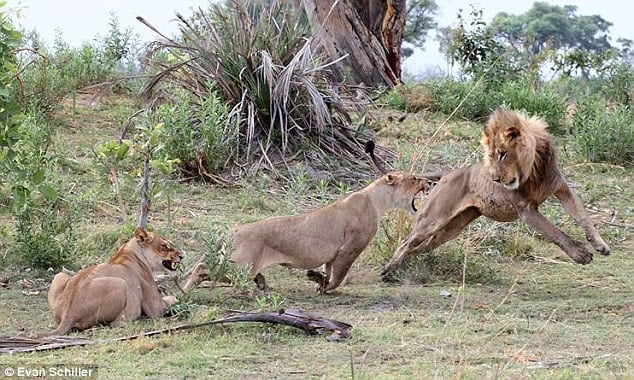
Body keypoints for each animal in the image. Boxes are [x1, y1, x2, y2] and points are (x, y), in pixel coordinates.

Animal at [44, 227, 181, 334]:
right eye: (165, 246)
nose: (181, 256)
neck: (128, 250)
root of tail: (68, 313)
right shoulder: (155, 307)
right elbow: (170, 300)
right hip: (120, 283)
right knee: (114, 323)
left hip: (60, 275)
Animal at [230, 172, 428, 294]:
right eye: (414, 178)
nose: (430, 182)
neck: (376, 201)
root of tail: (237, 229)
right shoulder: (348, 249)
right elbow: (338, 278)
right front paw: (322, 285)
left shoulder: (333, 254)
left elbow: (329, 271)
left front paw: (319, 280)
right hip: (243, 264)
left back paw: (261, 281)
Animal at [380, 107, 608, 280]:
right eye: (490, 156)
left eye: (503, 153)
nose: (495, 180)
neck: (534, 169)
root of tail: (448, 173)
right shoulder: (526, 210)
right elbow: (555, 233)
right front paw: (580, 254)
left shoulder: (561, 188)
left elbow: (583, 216)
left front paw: (601, 245)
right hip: (433, 218)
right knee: (408, 241)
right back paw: (389, 268)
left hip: (452, 228)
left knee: (421, 246)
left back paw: (398, 267)